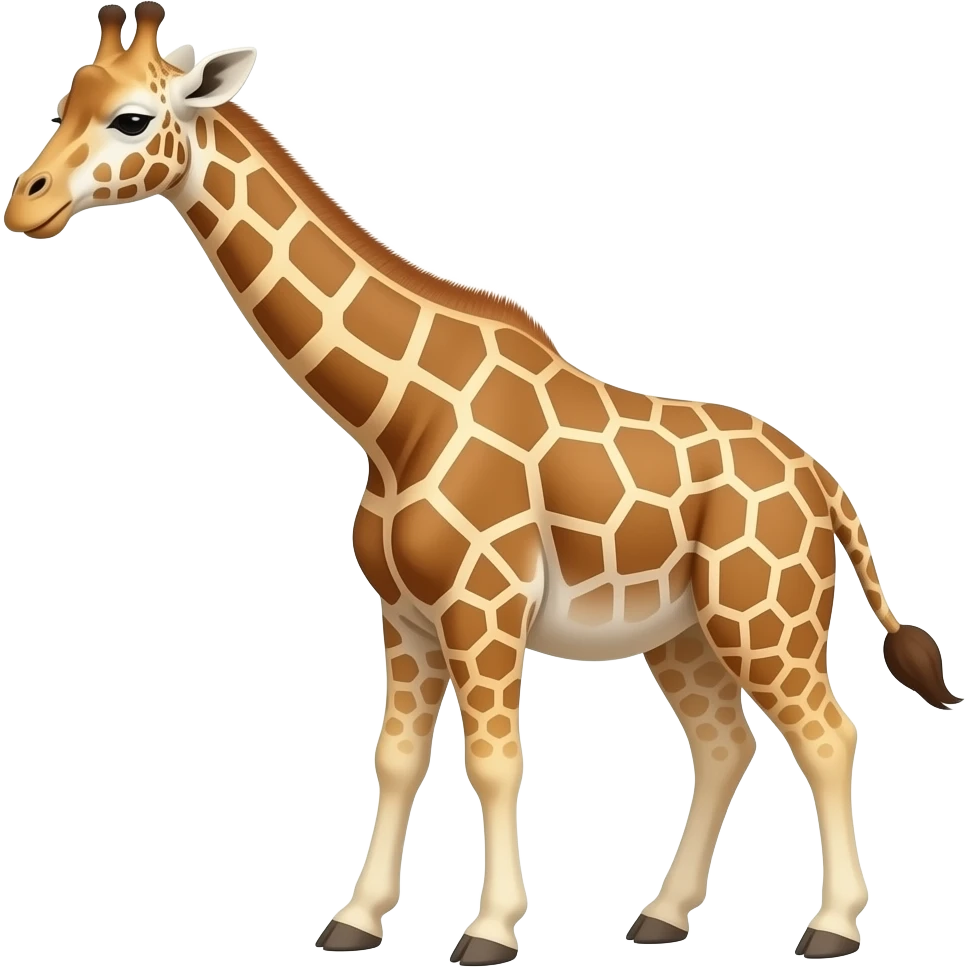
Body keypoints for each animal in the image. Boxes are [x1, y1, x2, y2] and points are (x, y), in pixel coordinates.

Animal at [3, 3, 960, 964]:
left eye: (133, 118)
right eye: (62, 102)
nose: (26, 203)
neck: (395, 423)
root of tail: (824, 482)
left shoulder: (485, 606)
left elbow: (494, 762)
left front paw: (490, 931)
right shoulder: (404, 616)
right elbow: (394, 757)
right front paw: (355, 921)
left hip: (766, 614)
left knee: (828, 734)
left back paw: (830, 928)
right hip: (681, 629)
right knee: (725, 742)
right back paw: (660, 917)